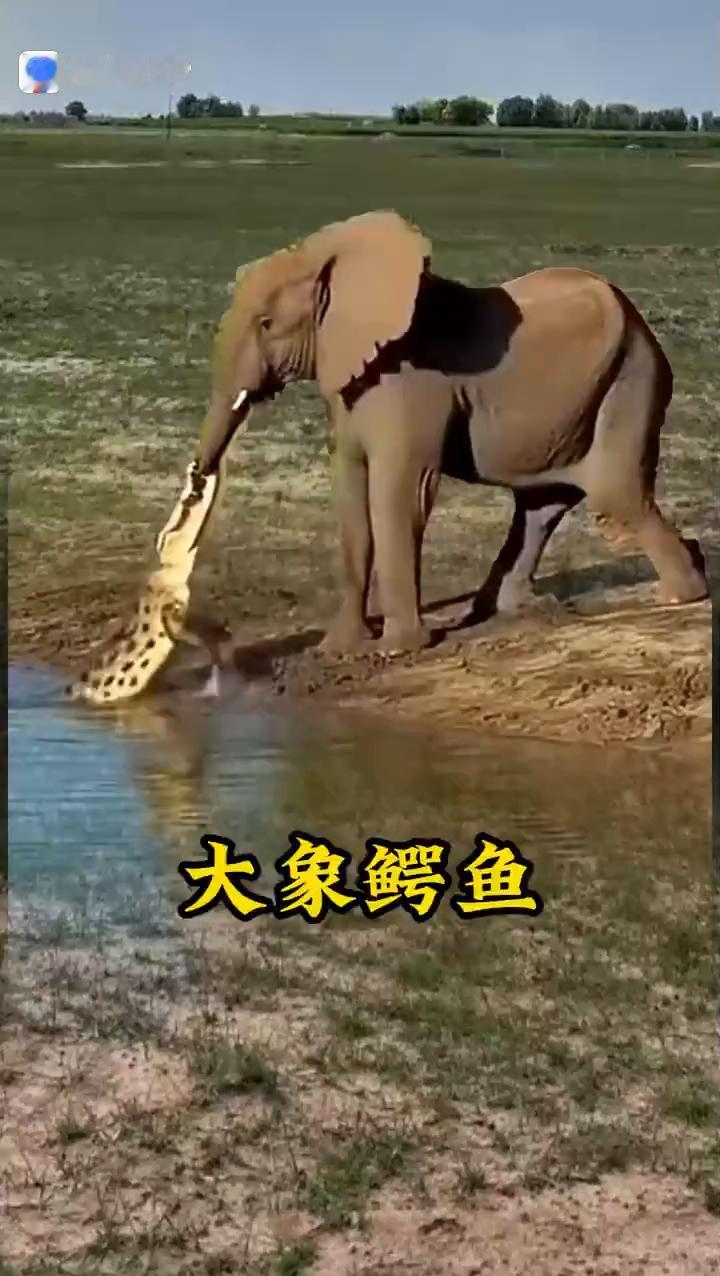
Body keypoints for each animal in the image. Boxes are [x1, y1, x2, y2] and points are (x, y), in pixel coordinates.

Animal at [190, 209, 707, 656]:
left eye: (266, 323)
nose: (197, 484)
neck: (328, 257)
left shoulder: (411, 381)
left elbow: (399, 492)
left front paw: (398, 649)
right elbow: (351, 494)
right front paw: (339, 650)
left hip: (631, 378)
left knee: (615, 493)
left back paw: (680, 594)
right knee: (542, 505)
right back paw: (509, 610)